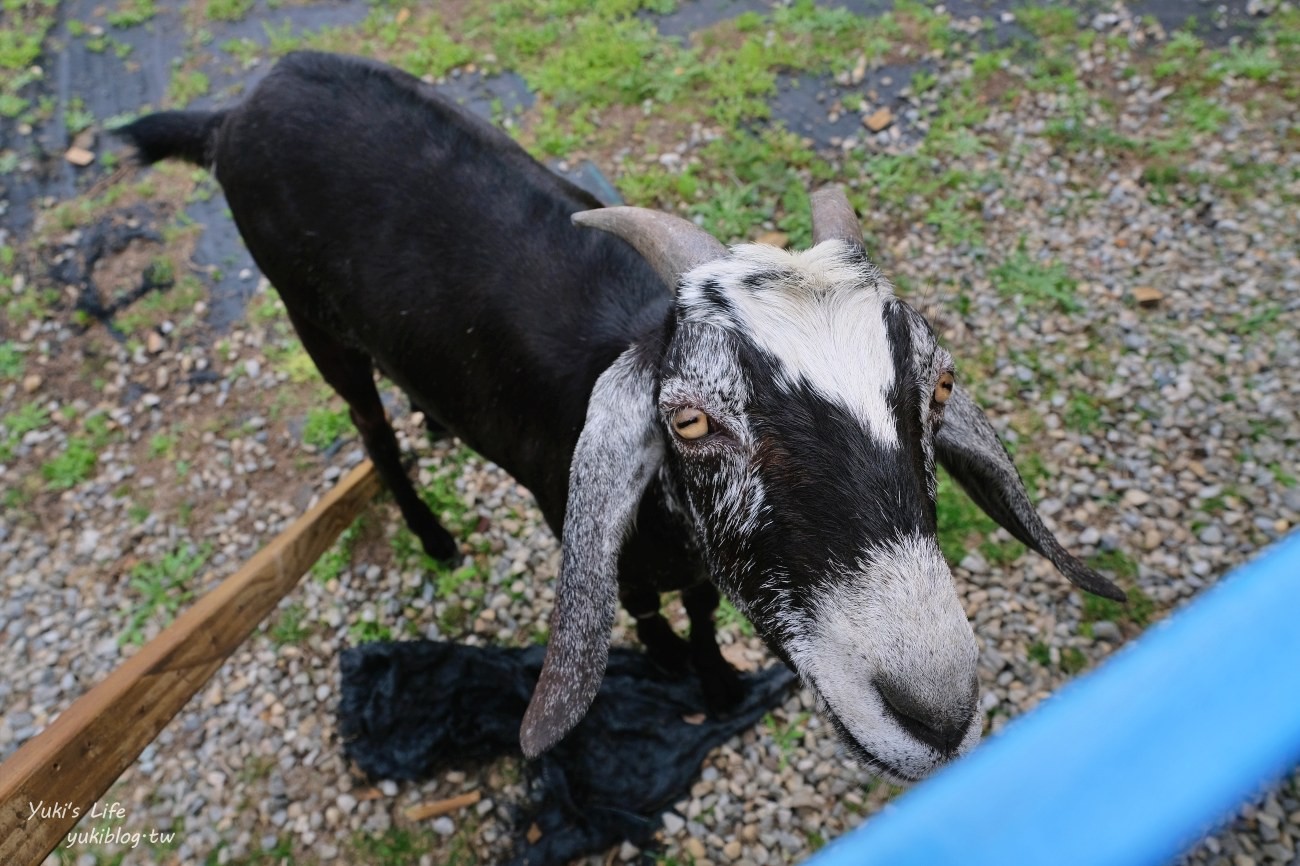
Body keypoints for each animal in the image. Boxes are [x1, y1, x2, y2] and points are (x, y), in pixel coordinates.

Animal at [116, 50, 1123, 780]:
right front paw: (685, 674)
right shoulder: (587, 526)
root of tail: (238, 109)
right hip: (309, 317)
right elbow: (643, 609)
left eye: (939, 389)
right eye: (689, 422)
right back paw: (434, 536)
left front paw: (716, 677)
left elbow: (706, 606)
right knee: (370, 431)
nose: (937, 711)